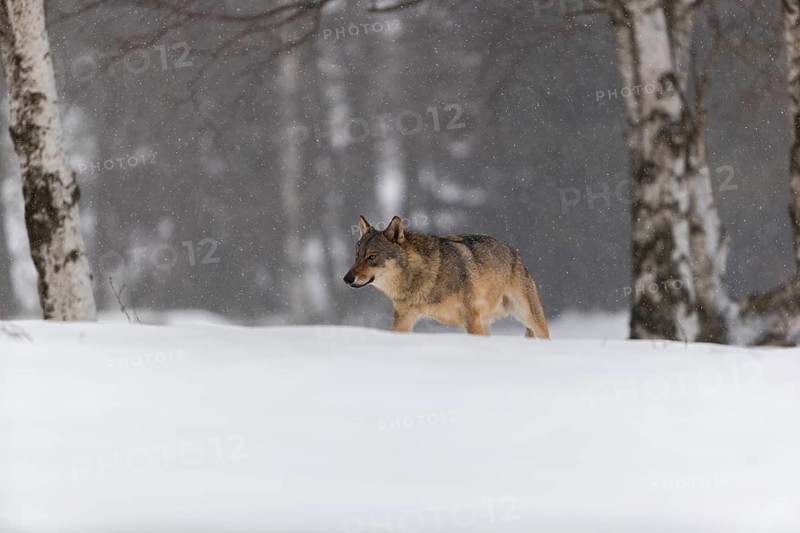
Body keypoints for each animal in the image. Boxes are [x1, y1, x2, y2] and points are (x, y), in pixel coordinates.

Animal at [343, 215, 550, 338]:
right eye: (357, 256)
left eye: (372, 257)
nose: (346, 279)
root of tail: (516, 254)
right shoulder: (403, 320)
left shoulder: (470, 318)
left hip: (528, 317)